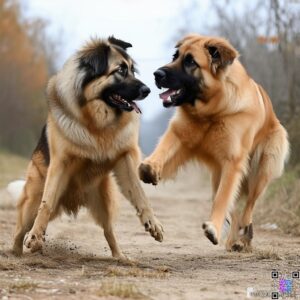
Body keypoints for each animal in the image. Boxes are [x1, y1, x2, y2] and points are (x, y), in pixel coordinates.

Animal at [12, 37, 164, 258]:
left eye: (132, 70)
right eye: (120, 70)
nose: (148, 90)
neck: (97, 121)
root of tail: (72, 198)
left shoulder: (125, 158)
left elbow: (140, 194)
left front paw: (153, 223)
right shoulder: (60, 163)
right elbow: (46, 204)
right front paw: (35, 237)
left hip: (105, 202)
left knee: (109, 230)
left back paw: (120, 257)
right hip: (32, 200)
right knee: (21, 227)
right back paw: (18, 250)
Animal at [139, 34, 290, 252]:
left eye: (190, 62)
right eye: (175, 56)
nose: (156, 74)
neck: (212, 111)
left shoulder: (233, 162)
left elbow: (222, 199)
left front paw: (213, 228)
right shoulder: (179, 134)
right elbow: (162, 151)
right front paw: (149, 168)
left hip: (261, 170)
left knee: (248, 205)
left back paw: (242, 236)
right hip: (219, 175)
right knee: (234, 207)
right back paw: (234, 240)